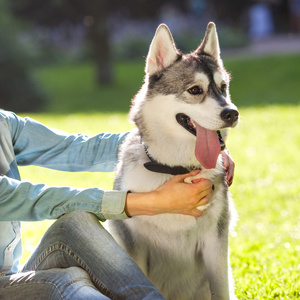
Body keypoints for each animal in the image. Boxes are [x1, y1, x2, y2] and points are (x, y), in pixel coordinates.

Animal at [108, 22, 239, 298]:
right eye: (195, 90)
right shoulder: (134, 245)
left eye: (223, 87)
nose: (232, 113)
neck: (176, 169)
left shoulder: (216, 242)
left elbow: (221, 288)